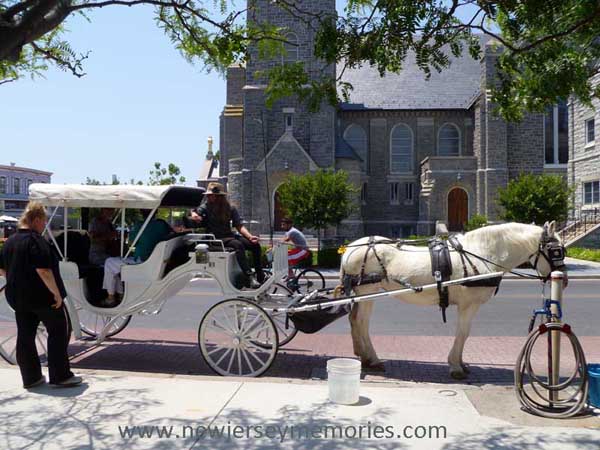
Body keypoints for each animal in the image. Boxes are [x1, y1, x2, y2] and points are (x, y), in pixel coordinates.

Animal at [340, 221, 564, 380]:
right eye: (556, 250)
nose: (563, 278)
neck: (481, 254)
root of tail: (350, 248)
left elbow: (464, 333)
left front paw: (461, 363)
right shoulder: (468, 304)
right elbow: (463, 332)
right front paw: (456, 366)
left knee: (354, 320)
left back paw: (363, 356)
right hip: (368, 290)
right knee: (361, 323)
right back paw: (373, 359)